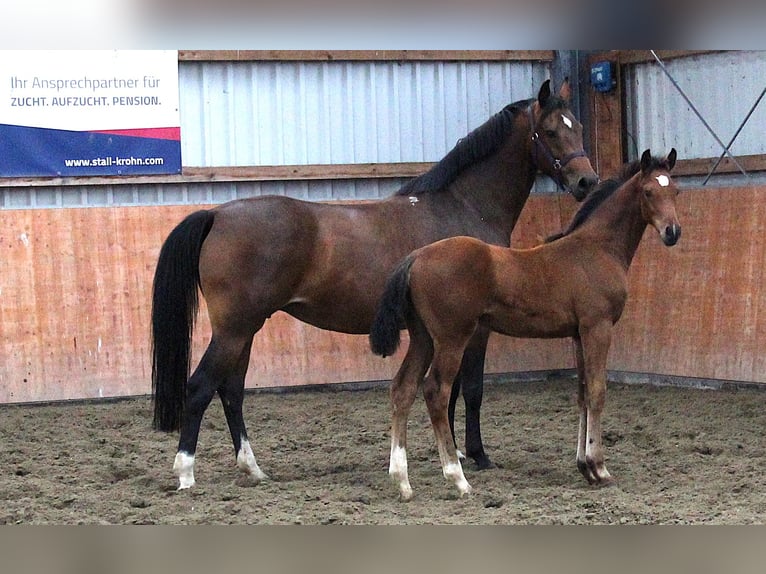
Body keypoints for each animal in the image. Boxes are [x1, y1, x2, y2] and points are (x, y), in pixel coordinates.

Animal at [151, 79, 599, 490]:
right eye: (551, 131)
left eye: (578, 126)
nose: (587, 182)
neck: (464, 206)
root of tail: (217, 214)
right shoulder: (474, 330)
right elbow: (468, 389)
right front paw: (475, 455)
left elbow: (450, 391)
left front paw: (452, 454)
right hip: (234, 329)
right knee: (200, 388)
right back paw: (186, 473)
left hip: (245, 330)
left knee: (231, 391)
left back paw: (253, 469)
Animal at [369, 148, 680, 500]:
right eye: (648, 192)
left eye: (675, 191)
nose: (672, 232)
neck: (597, 248)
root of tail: (416, 257)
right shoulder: (597, 328)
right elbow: (598, 392)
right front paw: (599, 467)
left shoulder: (578, 334)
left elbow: (582, 393)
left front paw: (584, 467)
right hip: (451, 339)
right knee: (436, 391)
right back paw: (458, 478)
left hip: (423, 338)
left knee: (403, 388)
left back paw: (403, 481)